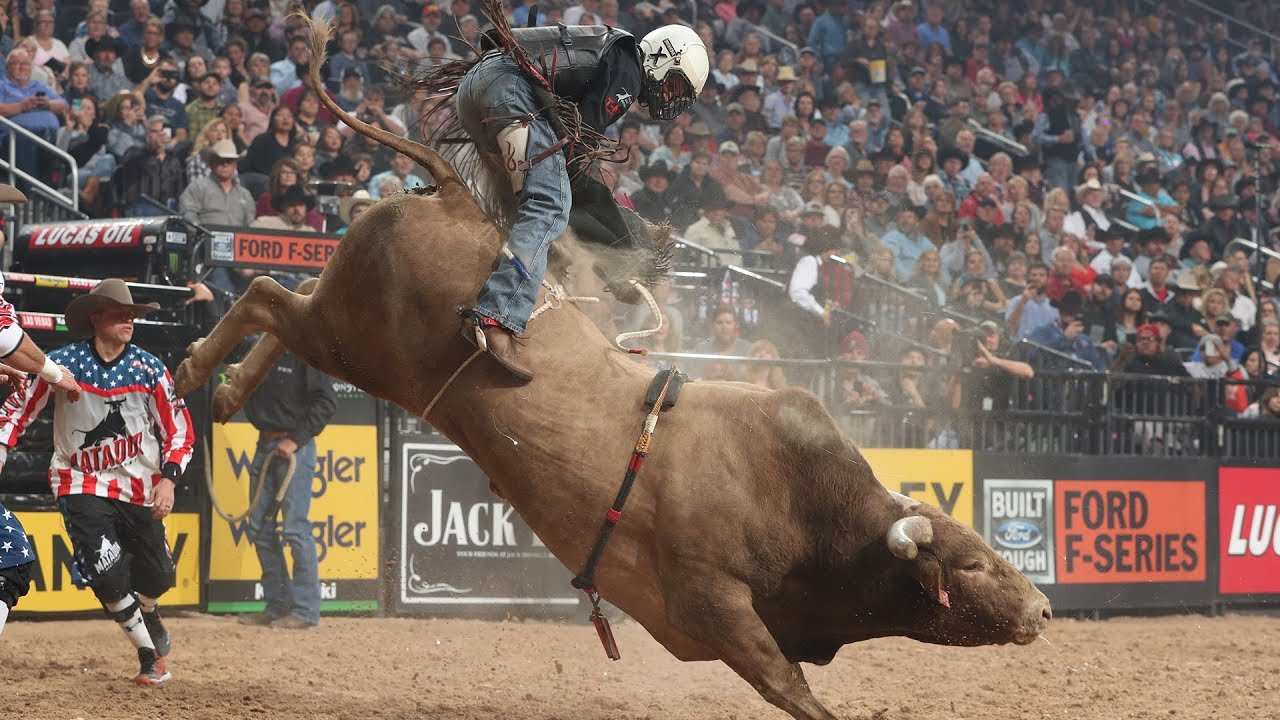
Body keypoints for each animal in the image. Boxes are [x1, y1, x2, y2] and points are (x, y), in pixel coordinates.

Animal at [173, 16, 1051, 719]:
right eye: (973, 563)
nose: (1043, 611)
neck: (809, 511)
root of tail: (455, 193)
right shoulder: (709, 604)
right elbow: (784, 682)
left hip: (345, 324)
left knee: (280, 301)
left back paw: (227, 390)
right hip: (358, 341)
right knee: (262, 294)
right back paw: (194, 378)